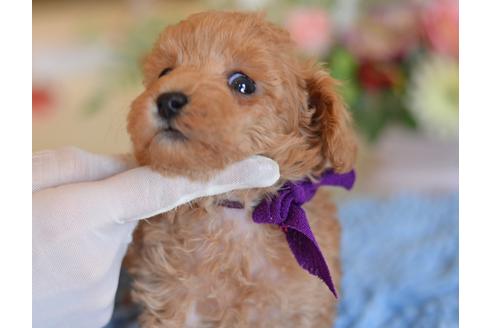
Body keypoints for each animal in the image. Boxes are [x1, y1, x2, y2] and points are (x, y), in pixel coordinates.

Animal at [127, 11, 358, 326]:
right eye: (165, 72)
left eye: (243, 84)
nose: (167, 100)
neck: (235, 208)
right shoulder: (171, 299)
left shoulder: (305, 305)